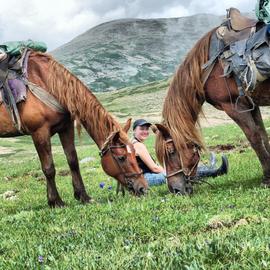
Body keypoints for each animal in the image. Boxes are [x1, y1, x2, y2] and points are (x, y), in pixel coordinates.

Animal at [0, 51, 148, 208]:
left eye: (135, 154)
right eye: (121, 158)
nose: (143, 188)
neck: (48, 84)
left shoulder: (66, 128)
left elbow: (73, 161)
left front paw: (83, 196)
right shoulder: (39, 132)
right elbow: (49, 168)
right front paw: (55, 201)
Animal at [156, 28, 270, 194]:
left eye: (171, 152)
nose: (175, 189)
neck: (206, 69)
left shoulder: (234, 107)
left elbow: (254, 138)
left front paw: (267, 178)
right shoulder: (252, 105)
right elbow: (263, 135)